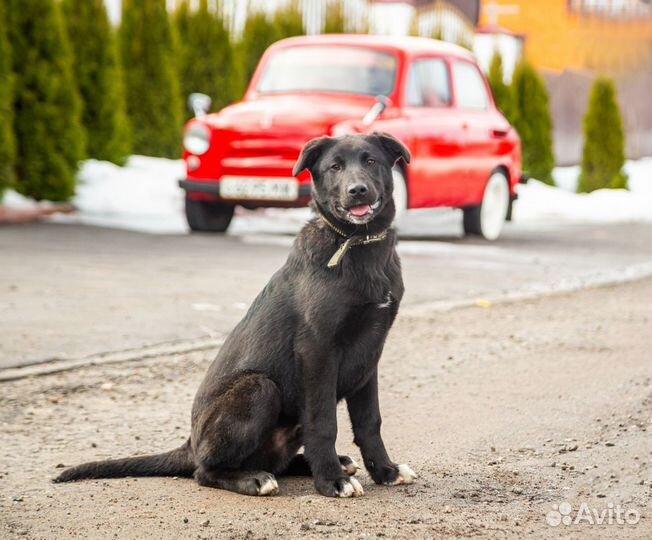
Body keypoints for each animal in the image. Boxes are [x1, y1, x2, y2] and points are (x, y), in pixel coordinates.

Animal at [56, 133, 416, 500]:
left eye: (370, 161)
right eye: (334, 167)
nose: (357, 190)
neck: (357, 242)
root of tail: (191, 443)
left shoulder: (369, 353)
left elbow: (370, 422)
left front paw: (385, 471)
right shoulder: (318, 350)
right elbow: (324, 422)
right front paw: (331, 481)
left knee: (275, 461)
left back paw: (329, 463)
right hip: (259, 387)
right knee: (205, 471)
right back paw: (256, 479)